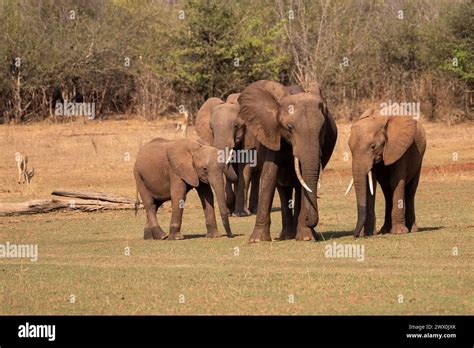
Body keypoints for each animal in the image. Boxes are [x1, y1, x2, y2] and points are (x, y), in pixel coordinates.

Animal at [239, 79, 338, 242]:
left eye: (323, 128)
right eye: (289, 127)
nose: (309, 220)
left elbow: (305, 182)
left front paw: (306, 237)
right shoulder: (273, 133)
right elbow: (269, 176)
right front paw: (257, 240)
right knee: (282, 188)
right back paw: (286, 236)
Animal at [346, 107, 428, 237]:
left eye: (373, 147)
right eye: (350, 148)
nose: (355, 236)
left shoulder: (400, 147)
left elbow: (397, 181)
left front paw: (399, 232)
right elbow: (371, 184)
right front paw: (369, 233)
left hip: (420, 156)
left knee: (410, 191)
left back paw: (412, 229)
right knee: (387, 191)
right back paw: (385, 230)